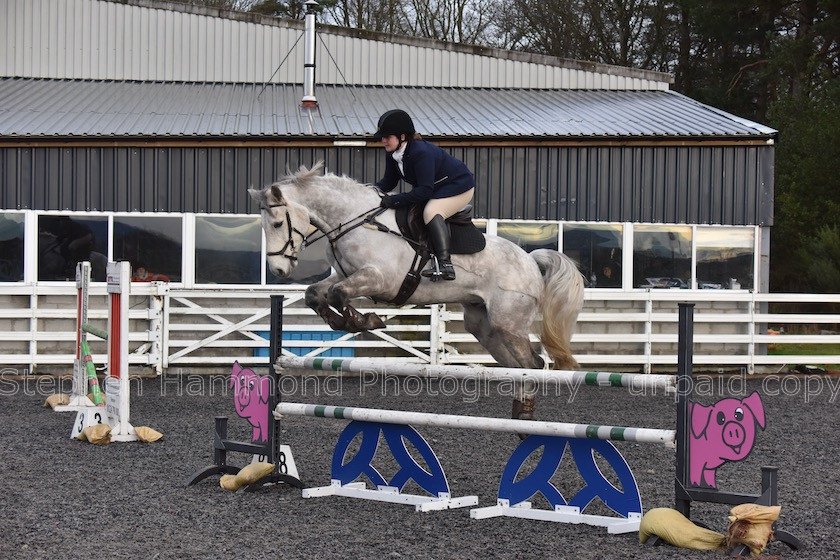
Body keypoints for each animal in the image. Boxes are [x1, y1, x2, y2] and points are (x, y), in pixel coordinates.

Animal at [249, 162, 584, 420]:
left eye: (277, 224)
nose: (278, 271)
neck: (353, 222)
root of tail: (530, 260)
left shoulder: (379, 278)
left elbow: (338, 295)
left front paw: (363, 321)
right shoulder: (344, 275)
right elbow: (315, 294)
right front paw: (340, 321)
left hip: (508, 324)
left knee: (534, 365)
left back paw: (525, 416)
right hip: (485, 327)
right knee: (520, 368)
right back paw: (519, 416)